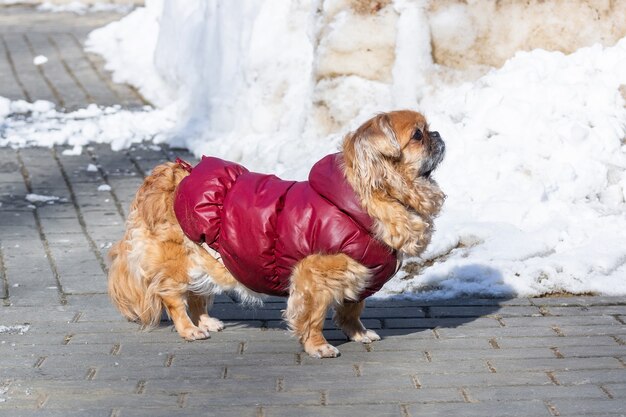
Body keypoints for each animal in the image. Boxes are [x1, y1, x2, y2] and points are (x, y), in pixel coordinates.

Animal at [109, 110, 446, 358]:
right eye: (418, 135)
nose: (438, 134)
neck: (362, 200)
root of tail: (170, 174)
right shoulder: (314, 278)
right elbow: (313, 316)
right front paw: (318, 346)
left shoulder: (360, 277)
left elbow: (352, 309)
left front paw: (359, 333)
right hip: (177, 265)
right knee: (173, 297)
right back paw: (189, 329)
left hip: (204, 259)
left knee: (196, 294)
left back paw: (206, 322)